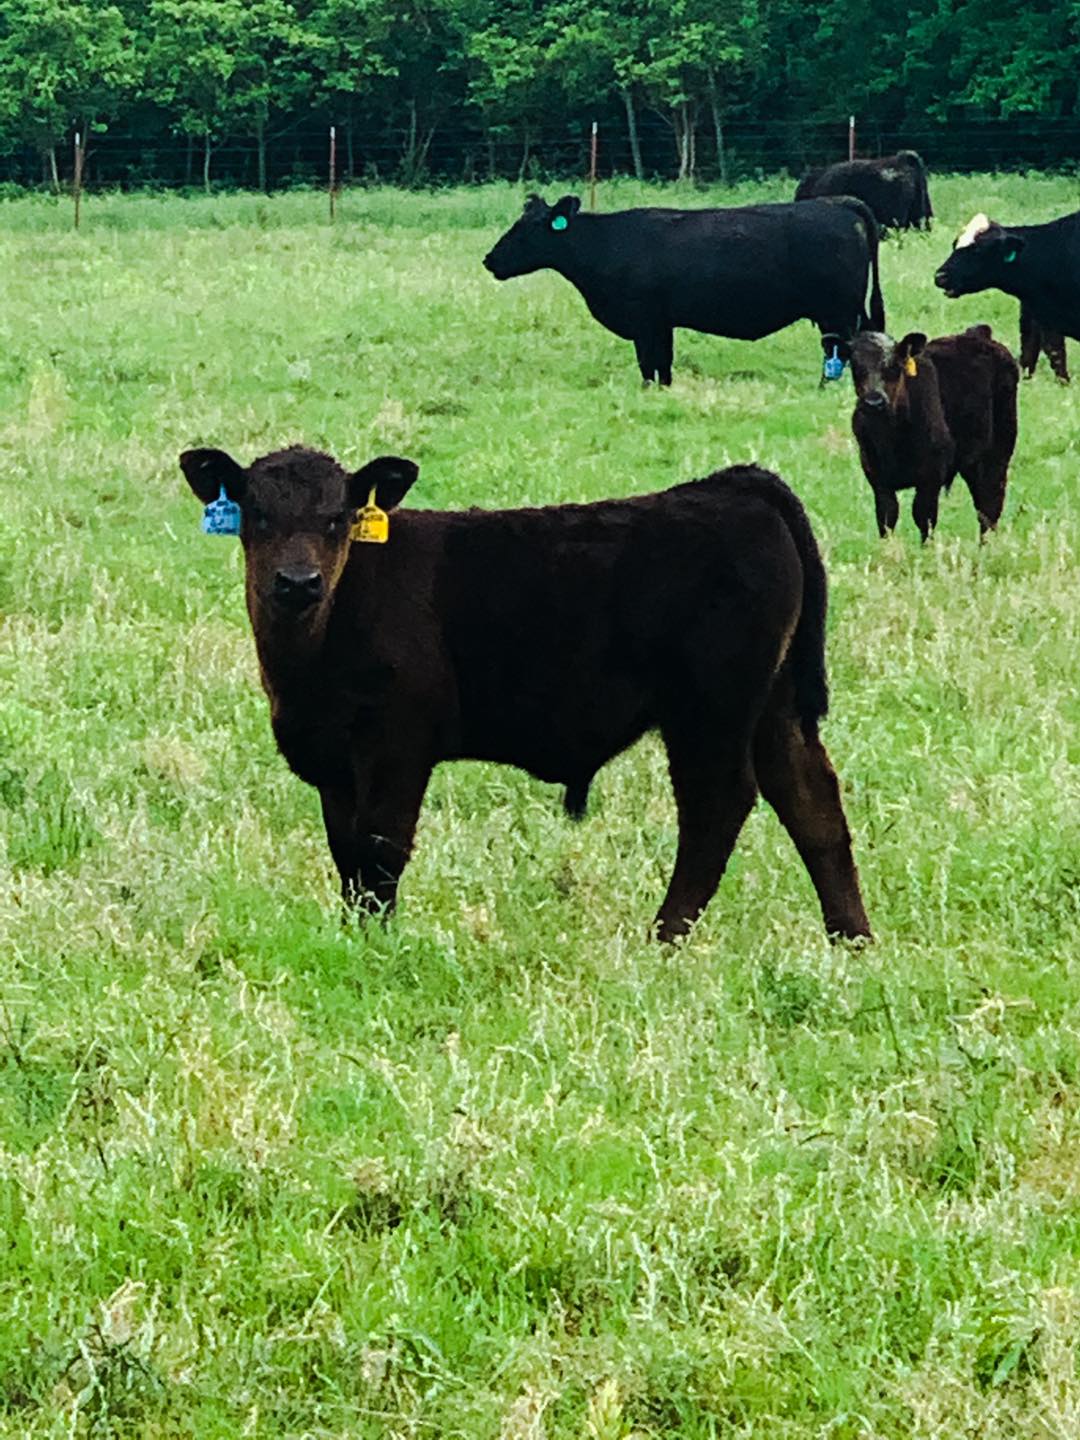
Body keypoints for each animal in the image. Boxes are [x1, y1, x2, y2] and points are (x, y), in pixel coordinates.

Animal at [180, 446, 871, 944]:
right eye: (257, 515)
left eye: (336, 518)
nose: (298, 582)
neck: (310, 656)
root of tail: (733, 485)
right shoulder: (333, 759)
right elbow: (346, 855)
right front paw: (354, 934)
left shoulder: (398, 743)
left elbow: (380, 849)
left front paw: (377, 943)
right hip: (775, 706)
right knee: (811, 800)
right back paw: (851, 939)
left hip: (711, 710)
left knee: (717, 807)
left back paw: (664, 936)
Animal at [482, 193, 885, 385]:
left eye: (527, 228)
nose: (489, 259)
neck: (607, 244)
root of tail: (836, 202)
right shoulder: (662, 323)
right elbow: (664, 365)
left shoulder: (644, 320)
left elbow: (649, 365)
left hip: (838, 310)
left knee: (841, 349)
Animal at [849, 325, 1019, 541]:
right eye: (855, 366)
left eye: (895, 366)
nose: (873, 401)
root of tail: (978, 333)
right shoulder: (876, 476)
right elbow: (886, 518)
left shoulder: (931, 474)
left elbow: (924, 518)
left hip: (997, 452)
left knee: (989, 506)